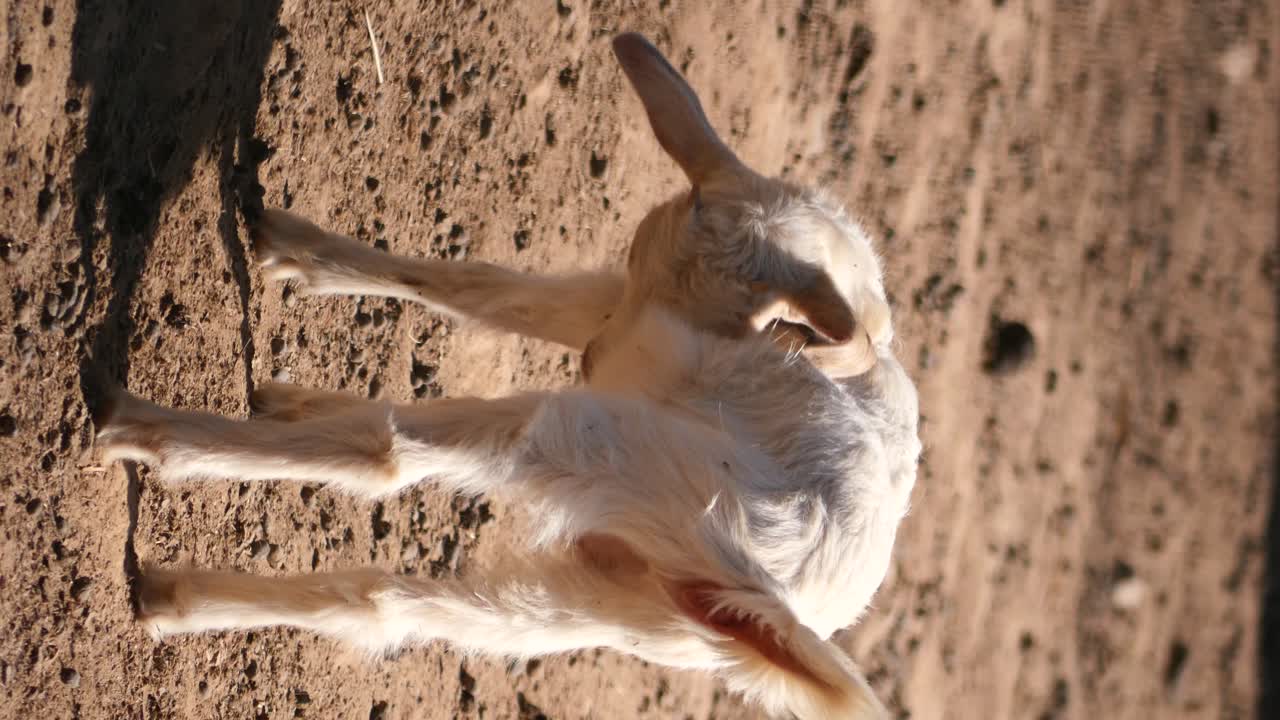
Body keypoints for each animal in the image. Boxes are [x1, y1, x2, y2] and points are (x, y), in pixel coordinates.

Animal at [89, 33, 921, 719]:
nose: (595, 359)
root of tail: (779, 598)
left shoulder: (607, 391)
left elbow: (406, 422)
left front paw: (143, 427)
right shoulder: (616, 304)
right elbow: (484, 288)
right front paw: (290, 247)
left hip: (593, 470)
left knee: (389, 457)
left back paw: (154, 443)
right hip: (624, 609)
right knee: (395, 605)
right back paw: (179, 591)